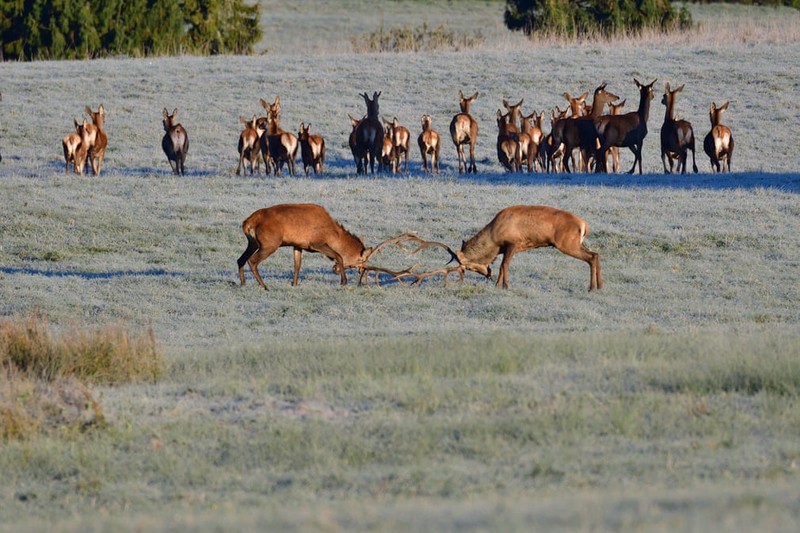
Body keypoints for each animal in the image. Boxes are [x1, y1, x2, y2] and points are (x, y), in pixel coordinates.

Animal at [238, 202, 376, 288]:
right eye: (360, 261)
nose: (335, 270)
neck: (334, 236)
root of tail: (248, 222)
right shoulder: (316, 243)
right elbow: (338, 256)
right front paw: (343, 281)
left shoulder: (298, 245)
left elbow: (297, 265)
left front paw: (294, 284)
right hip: (269, 244)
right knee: (252, 261)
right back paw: (264, 286)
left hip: (253, 243)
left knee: (240, 259)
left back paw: (243, 283)